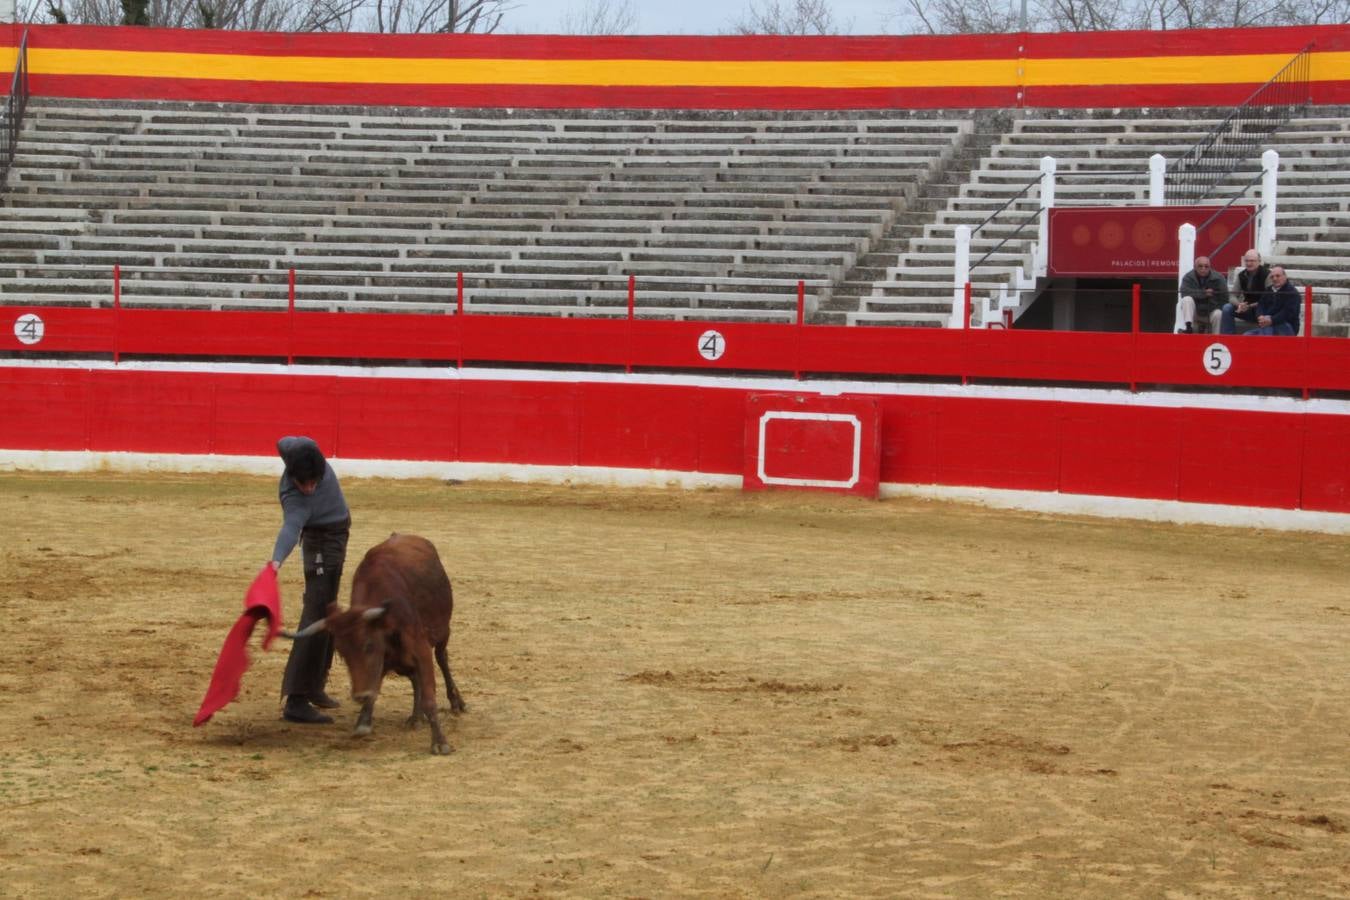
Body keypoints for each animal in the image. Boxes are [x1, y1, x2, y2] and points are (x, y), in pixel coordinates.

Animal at [282, 534, 467, 755]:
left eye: (368, 645)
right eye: (342, 654)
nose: (360, 696)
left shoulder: (420, 649)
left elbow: (430, 695)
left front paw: (439, 742)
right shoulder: (386, 658)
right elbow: (378, 684)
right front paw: (363, 720)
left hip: (442, 633)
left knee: (442, 660)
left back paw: (456, 702)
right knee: (415, 678)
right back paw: (416, 717)